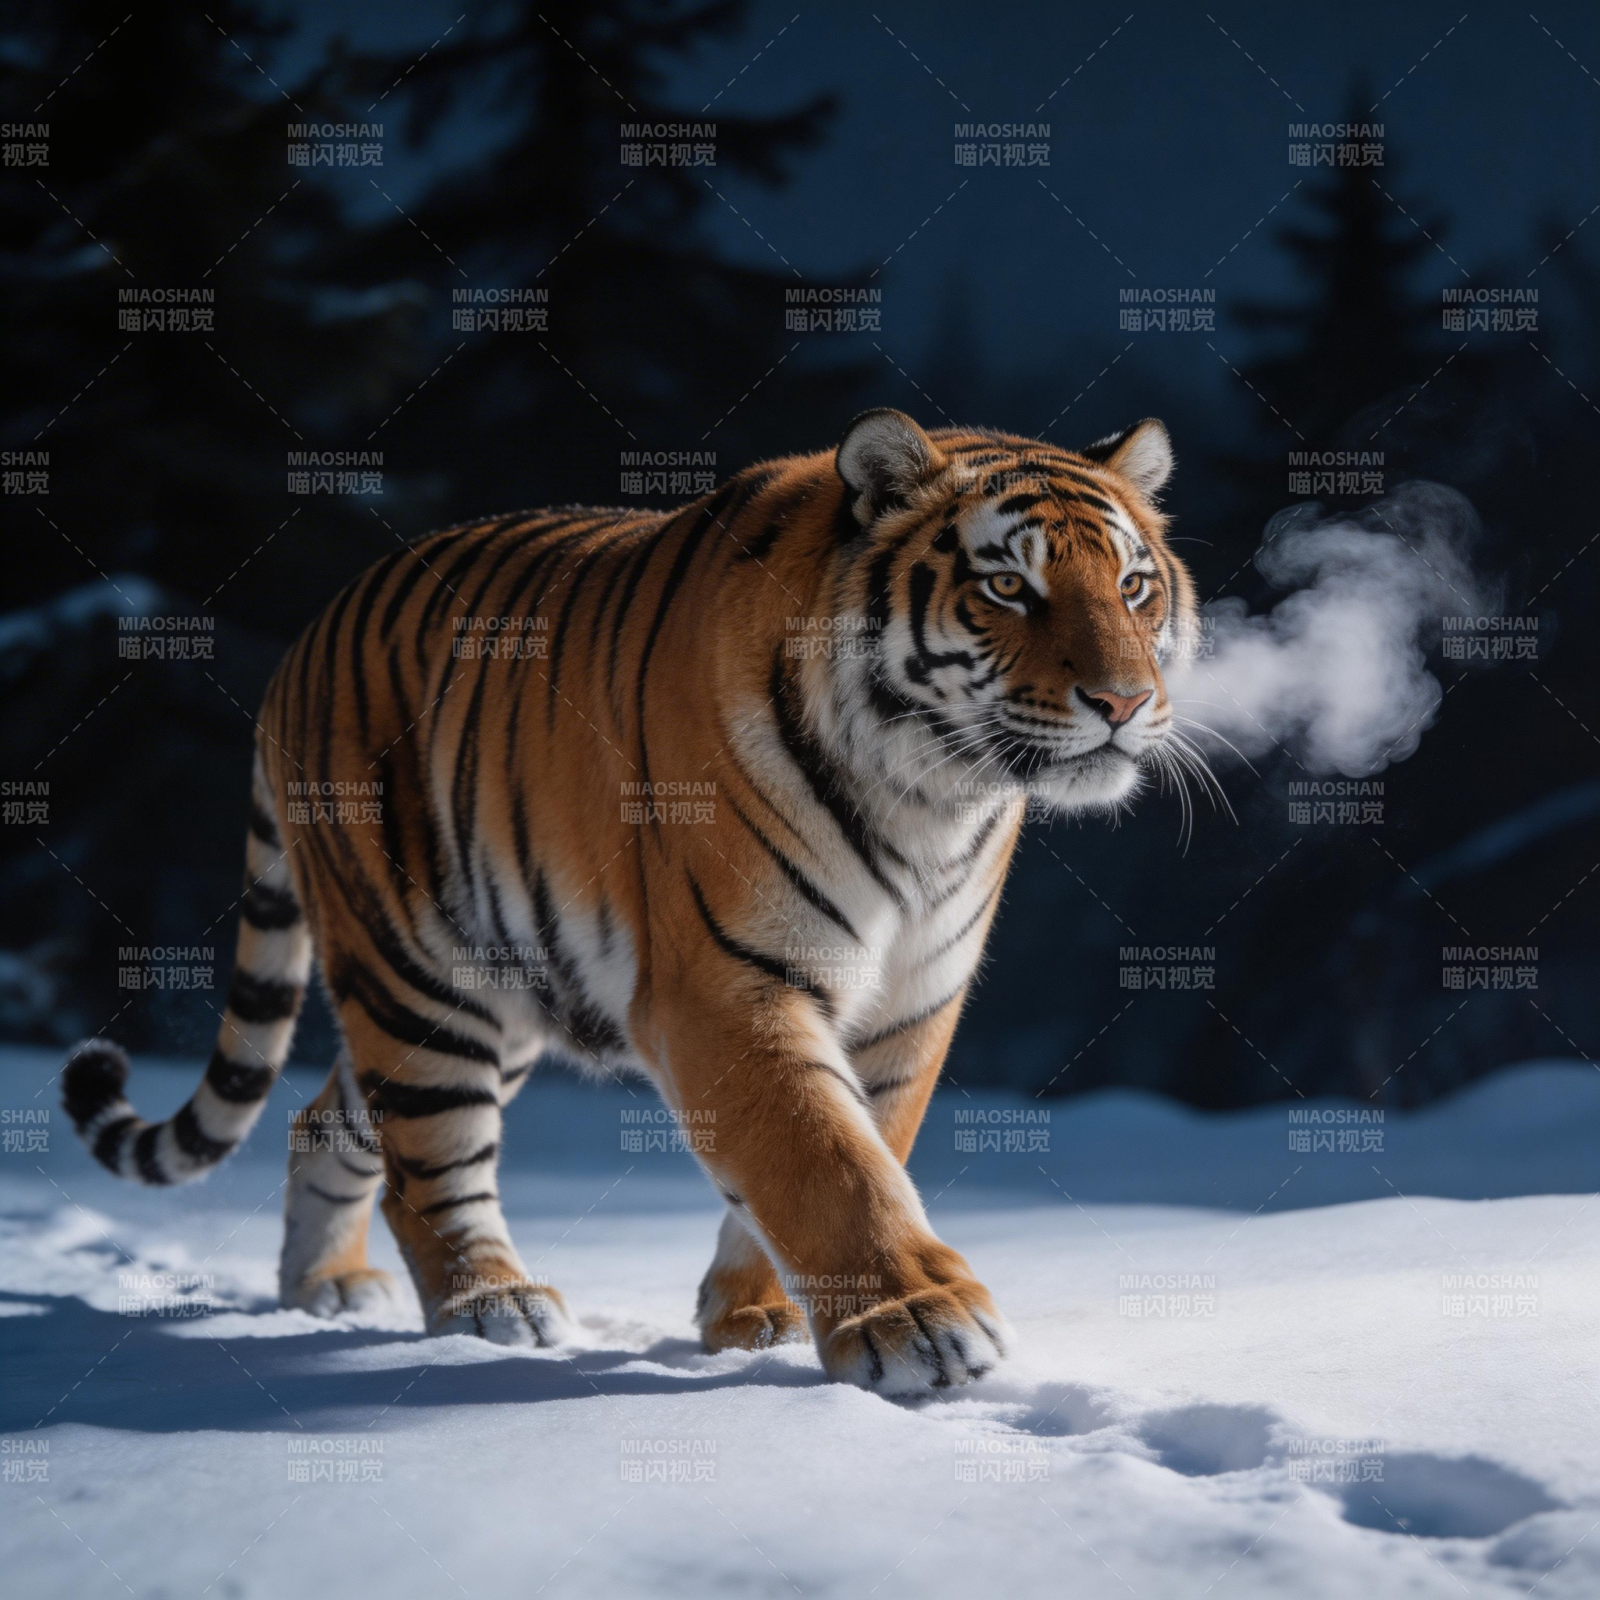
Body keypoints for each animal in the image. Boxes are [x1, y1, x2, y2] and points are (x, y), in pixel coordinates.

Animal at [61, 408, 1196, 1397]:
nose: (1125, 700)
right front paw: (917, 1325)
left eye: (1134, 585)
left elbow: (847, 1141)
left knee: (327, 1116)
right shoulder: (728, 982)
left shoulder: (909, 1005)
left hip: (502, 981)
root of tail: (303, 639)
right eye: (1006, 584)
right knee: (427, 1156)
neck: (931, 796)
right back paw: (490, 1304)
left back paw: (322, 1288)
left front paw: (752, 1318)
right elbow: (822, 1154)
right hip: (421, 975)